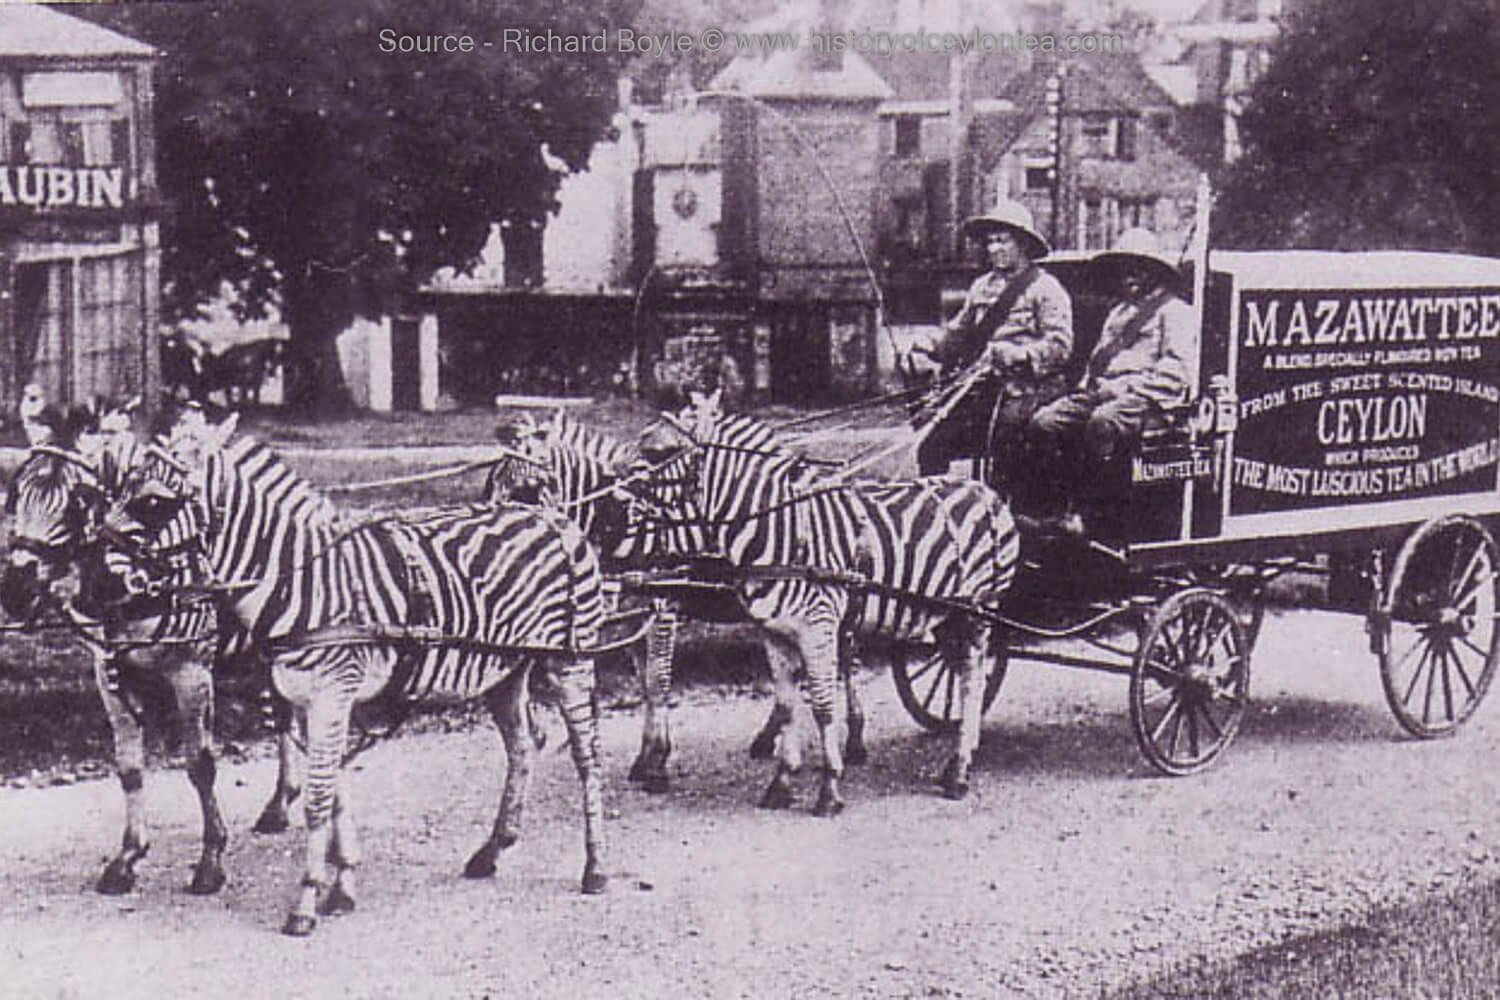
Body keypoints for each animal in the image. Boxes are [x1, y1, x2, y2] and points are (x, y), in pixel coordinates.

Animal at [0, 401, 231, 893]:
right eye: (16, 495)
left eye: (77, 502)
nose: (16, 589)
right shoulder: (109, 675)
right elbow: (129, 766)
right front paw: (128, 857)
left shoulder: (191, 672)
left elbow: (200, 764)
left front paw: (210, 860)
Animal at [105, 407, 612, 941]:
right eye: (124, 483)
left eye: (153, 500)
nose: (101, 584)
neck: (301, 581)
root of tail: (553, 514)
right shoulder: (315, 701)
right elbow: (333, 794)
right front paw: (341, 887)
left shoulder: (331, 693)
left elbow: (317, 799)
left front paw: (305, 902)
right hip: (506, 670)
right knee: (523, 744)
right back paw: (491, 851)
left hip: (571, 660)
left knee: (586, 757)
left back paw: (595, 867)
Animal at [486, 410, 876, 791]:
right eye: (491, 485)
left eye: (525, 489)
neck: (639, 532)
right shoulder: (637, 609)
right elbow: (645, 685)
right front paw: (646, 756)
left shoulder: (663, 611)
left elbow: (658, 683)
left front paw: (656, 762)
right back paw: (771, 737)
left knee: (843, 658)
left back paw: (854, 740)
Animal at [621, 392, 1020, 815]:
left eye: (661, 451)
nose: (615, 512)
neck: (779, 530)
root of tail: (984, 489)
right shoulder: (774, 632)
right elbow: (786, 704)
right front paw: (781, 782)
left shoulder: (815, 626)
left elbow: (823, 705)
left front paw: (829, 789)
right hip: (947, 616)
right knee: (960, 676)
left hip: (977, 611)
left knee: (972, 683)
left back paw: (958, 770)